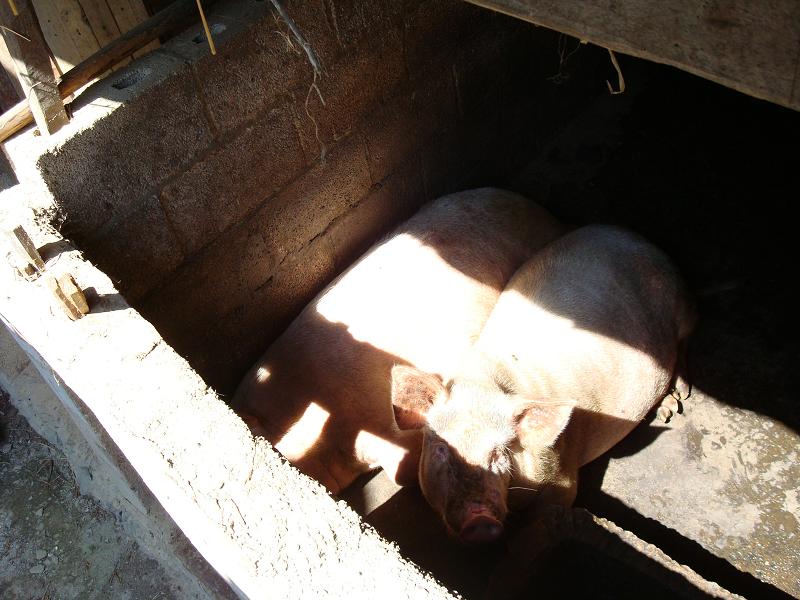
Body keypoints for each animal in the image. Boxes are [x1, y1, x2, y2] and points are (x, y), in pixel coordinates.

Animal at [392, 224, 692, 544]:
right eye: (441, 448)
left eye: (500, 452)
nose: (479, 519)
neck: (482, 383)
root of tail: (637, 237)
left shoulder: (563, 476)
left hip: (685, 311)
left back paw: (676, 403)